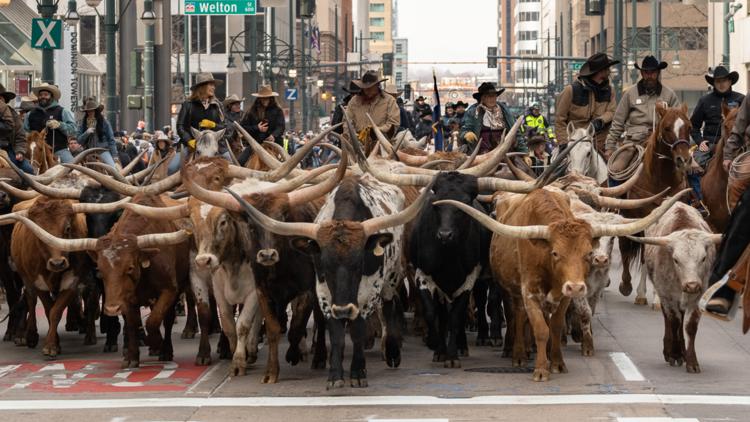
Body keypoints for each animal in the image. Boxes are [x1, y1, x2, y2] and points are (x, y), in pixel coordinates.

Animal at [620, 102, 696, 304]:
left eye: (689, 127)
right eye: (667, 128)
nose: (684, 159)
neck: (660, 179)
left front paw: (658, 297)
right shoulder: (645, 216)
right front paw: (642, 294)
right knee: (624, 246)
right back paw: (626, 285)